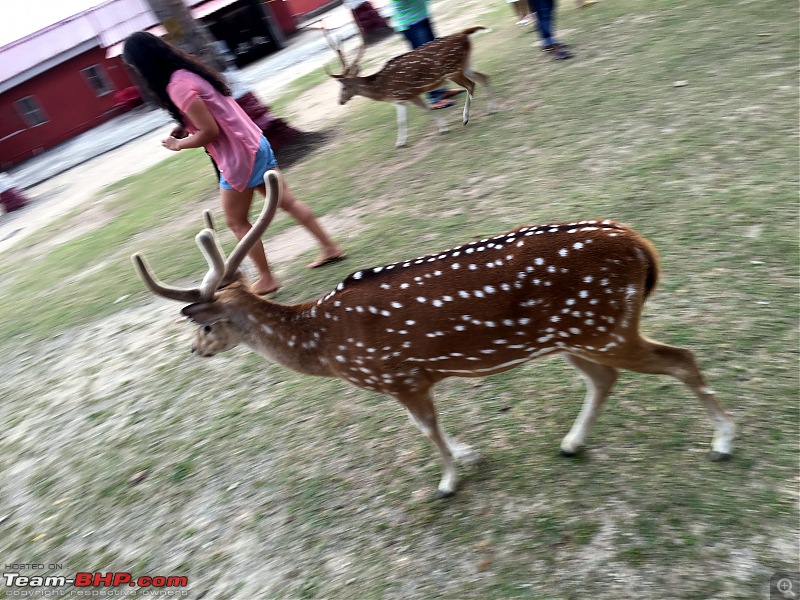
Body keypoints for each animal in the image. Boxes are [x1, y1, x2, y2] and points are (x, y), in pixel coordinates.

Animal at [133, 170, 736, 496]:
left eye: (206, 324)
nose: (195, 349)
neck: (325, 343)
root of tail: (641, 246)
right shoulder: (414, 377)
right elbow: (433, 427)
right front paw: (470, 456)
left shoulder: (400, 375)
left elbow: (424, 428)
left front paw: (448, 480)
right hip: (576, 334)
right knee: (605, 378)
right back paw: (571, 442)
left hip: (605, 324)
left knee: (680, 357)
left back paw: (723, 442)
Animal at [324, 25, 494, 148]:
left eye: (344, 87)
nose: (340, 101)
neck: (383, 89)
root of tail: (464, 34)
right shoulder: (410, 96)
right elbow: (426, 110)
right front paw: (443, 128)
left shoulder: (402, 94)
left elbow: (402, 120)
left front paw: (399, 143)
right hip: (465, 65)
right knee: (484, 77)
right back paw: (492, 109)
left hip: (453, 70)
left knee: (471, 85)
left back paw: (466, 118)